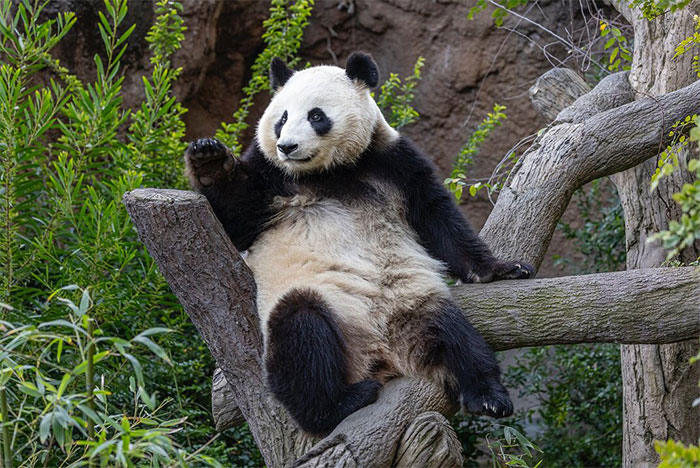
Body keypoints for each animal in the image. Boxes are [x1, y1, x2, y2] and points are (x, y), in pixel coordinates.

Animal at [184, 52, 533, 436]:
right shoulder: (270, 175)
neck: (331, 172)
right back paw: (339, 404)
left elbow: (437, 217)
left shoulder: (392, 161)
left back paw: (488, 396)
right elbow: (237, 218)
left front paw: (501, 269)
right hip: (318, 301)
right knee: (300, 336)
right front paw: (208, 158)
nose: (287, 147)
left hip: (413, 302)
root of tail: (382, 352)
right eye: (282, 119)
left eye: (316, 116)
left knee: (457, 338)